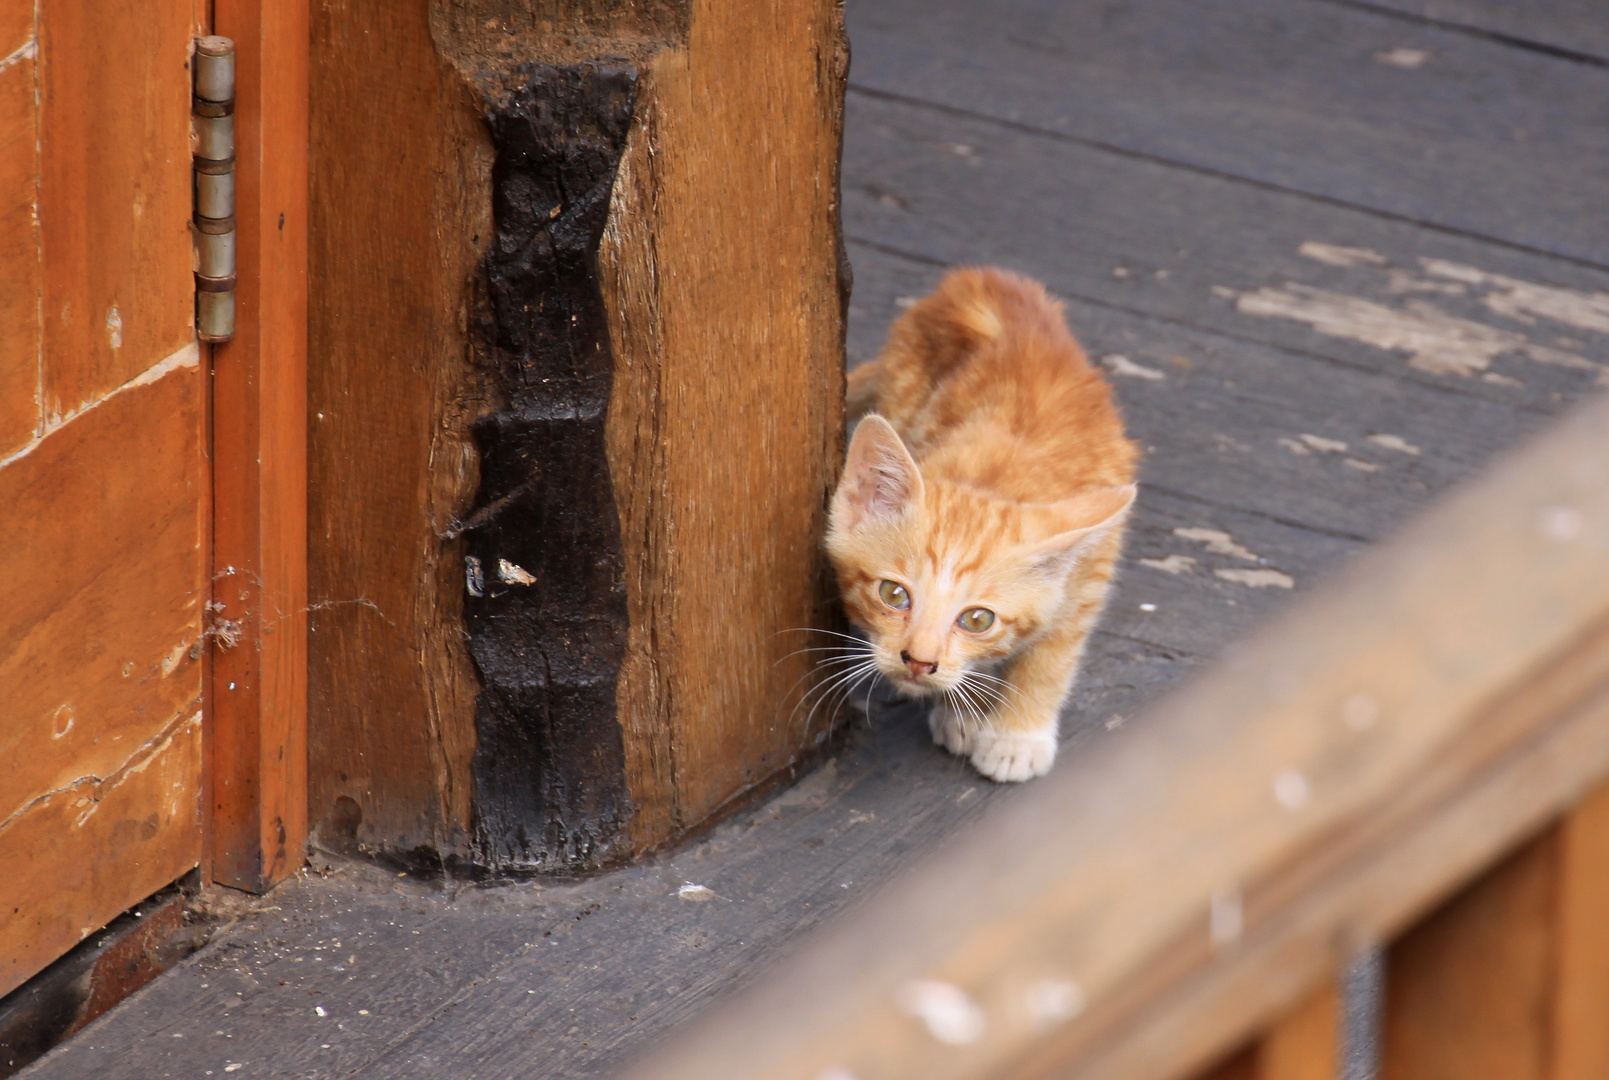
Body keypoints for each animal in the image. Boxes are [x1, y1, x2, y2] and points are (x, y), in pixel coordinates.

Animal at [830, 267, 1132, 782]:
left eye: (977, 619)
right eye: (894, 594)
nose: (919, 662)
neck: (996, 477)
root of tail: (983, 278)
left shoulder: (1091, 569)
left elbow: (1054, 653)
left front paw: (1016, 734)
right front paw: (965, 711)